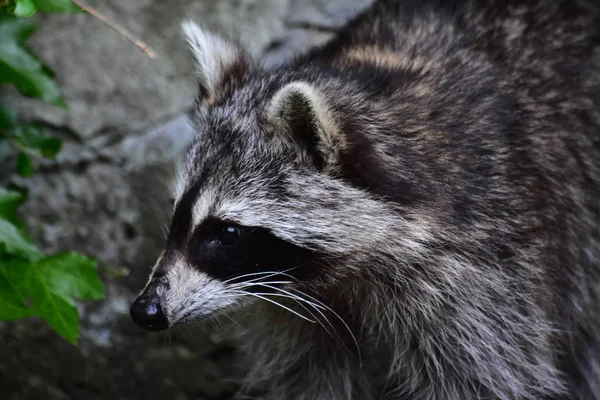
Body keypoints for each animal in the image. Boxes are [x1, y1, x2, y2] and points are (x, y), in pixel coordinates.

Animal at [127, 0, 600, 398]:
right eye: (178, 211)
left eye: (227, 231)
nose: (146, 310)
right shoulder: (295, 304)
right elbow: (308, 376)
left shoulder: (486, 268)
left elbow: (486, 378)